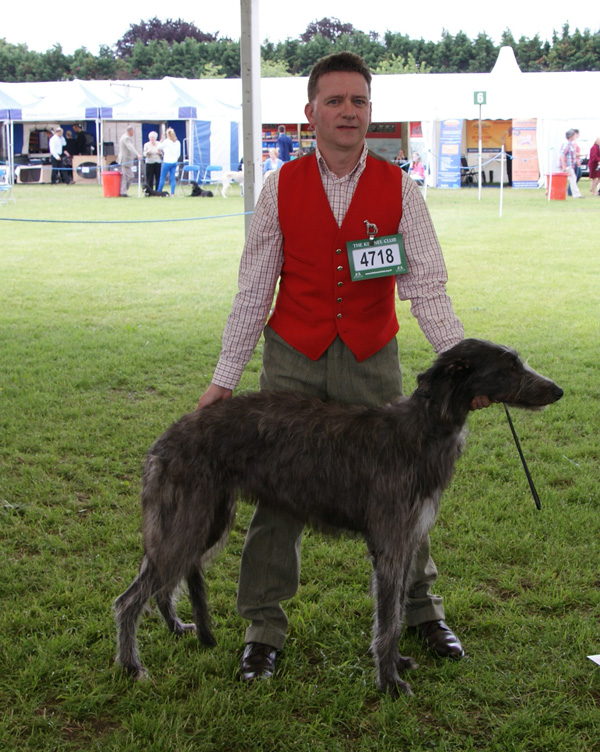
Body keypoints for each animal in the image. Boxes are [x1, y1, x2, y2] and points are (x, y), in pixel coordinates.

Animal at [116, 338, 564, 696]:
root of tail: (165, 440)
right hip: (189, 522)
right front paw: (390, 683)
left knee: (162, 582)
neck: (423, 429)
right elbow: (388, 623)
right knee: (128, 600)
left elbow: (395, 612)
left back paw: (177, 628)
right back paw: (132, 666)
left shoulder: (404, 543)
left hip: (205, 523)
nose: (558, 390)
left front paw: (396, 664)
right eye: (509, 366)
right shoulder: (390, 545)